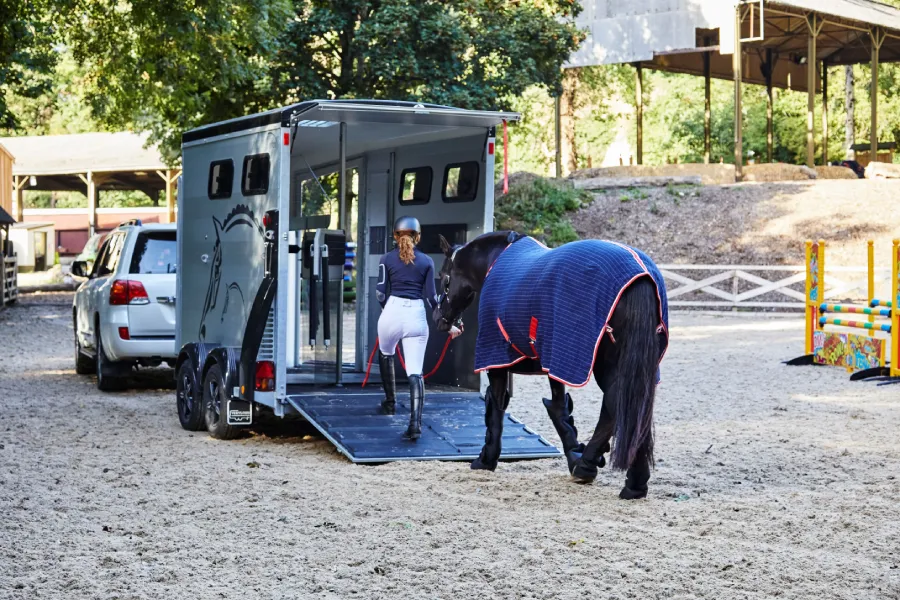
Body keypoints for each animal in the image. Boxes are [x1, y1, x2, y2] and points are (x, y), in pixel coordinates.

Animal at [434, 232, 669, 500]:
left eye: (443, 277)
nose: (439, 319)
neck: (494, 263)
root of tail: (640, 276)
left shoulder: (499, 358)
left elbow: (497, 406)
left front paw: (486, 460)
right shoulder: (555, 362)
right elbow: (559, 407)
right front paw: (574, 452)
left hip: (603, 363)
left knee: (615, 404)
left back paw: (588, 465)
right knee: (635, 406)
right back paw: (633, 483)